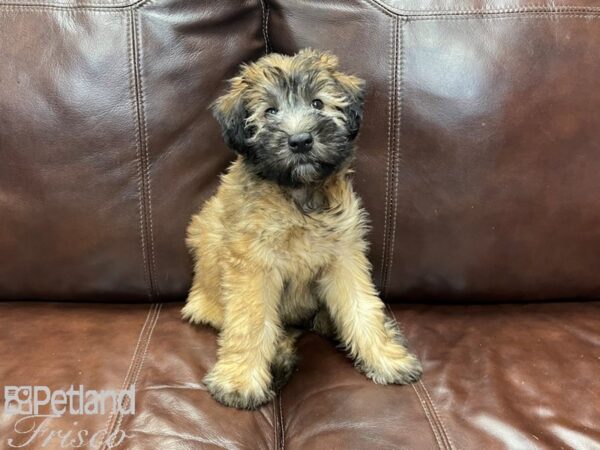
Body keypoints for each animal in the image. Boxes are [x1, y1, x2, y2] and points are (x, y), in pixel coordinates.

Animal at [183, 50, 422, 412]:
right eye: (270, 111)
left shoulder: (344, 256)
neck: (299, 196)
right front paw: (240, 382)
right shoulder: (252, 265)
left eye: (318, 104)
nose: (300, 141)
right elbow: (251, 322)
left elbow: (362, 308)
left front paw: (385, 357)